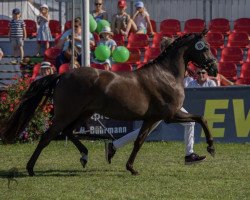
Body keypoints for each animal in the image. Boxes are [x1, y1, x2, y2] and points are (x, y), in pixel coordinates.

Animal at [0, 29, 217, 175]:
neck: (166, 75)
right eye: (205, 47)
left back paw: (85, 155)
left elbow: (139, 140)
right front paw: (210, 148)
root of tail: (63, 75)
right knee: (48, 136)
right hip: (66, 114)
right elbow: (202, 118)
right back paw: (30, 169)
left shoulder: (152, 118)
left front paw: (130, 167)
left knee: (68, 132)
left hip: (83, 113)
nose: (214, 69)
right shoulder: (170, 115)